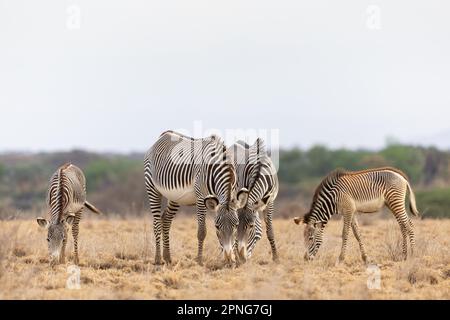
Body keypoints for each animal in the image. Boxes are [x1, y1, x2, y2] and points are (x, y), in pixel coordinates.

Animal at [143, 130, 246, 264]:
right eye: (216, 226)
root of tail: (163, 135)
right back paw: (158, 259)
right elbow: (202, 231)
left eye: (236, 225)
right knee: (156, 223)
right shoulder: (201, 198)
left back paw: (168, 258)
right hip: (152, 189)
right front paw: (200, 260)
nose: (228, 258)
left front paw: (235, 259)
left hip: (175, 197)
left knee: (165, 219)